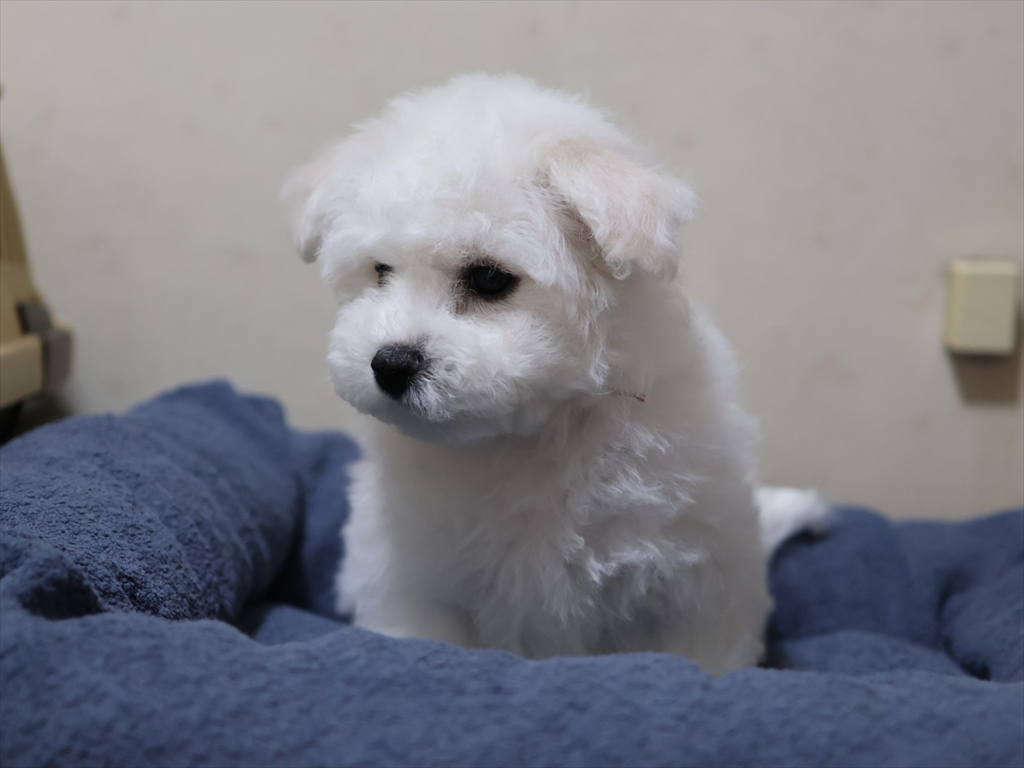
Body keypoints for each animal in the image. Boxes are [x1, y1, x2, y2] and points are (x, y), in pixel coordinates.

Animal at [286, 74, 826, 675]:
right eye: (380, 272)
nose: (390, 363)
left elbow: (700, 652)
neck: (530, 439)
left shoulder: (696, 582)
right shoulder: (414, 581)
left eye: (490, 279)